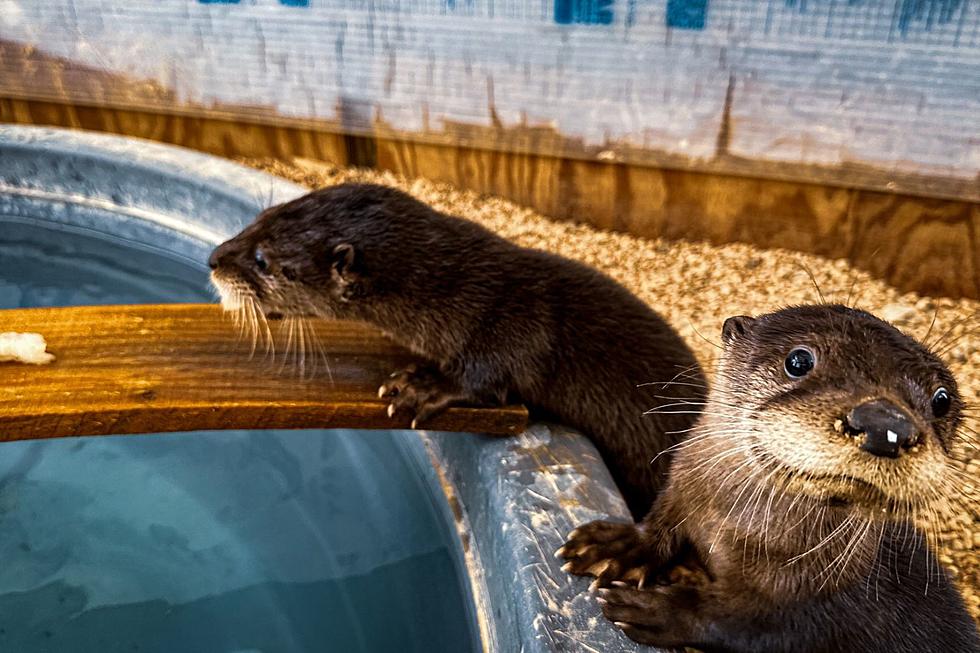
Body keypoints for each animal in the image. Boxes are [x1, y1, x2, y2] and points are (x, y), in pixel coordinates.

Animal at [211, 182, 708, 516]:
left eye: (263, 260)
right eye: (260, 217)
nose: (214, 258)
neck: (454, 295)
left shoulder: (514, 326)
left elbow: (486, 380)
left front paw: (420, 386)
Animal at [560, 306, 980, 652]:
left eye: (941, 400)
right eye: (799, 360)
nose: (885, 425)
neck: (730, 528)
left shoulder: (814, 607)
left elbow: (742, 623)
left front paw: (658, 607)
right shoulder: (681, 492)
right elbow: (663, 520)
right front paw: (618, 546)